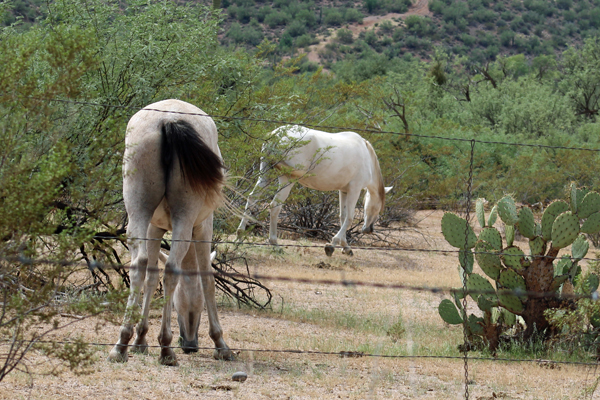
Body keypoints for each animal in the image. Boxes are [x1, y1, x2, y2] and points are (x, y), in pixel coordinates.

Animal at [108, 99, 232, 366]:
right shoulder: (203, 227)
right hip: (185, 220)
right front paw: (220, 344)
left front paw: (140, 339)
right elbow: (207, 278)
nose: (191, 345)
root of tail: (169, 119)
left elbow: (151, 276)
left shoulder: (154, 227)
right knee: (172, 269)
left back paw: (121, 344)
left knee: (139, 265)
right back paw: (166, 348)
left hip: (138, 211)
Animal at [237, 125, 392, 256]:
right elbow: (349, 218)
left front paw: (345, 247)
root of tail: (276, 134)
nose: (369, 230)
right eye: (379, 208)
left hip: (266, 174)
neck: (367, 156)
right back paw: (274, 243)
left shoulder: (344, 191)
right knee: (275, 206)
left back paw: (239, 235)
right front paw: (331, 246)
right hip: (286, 179)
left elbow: (342, 217)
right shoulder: (355, 189)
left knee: (252, 198)